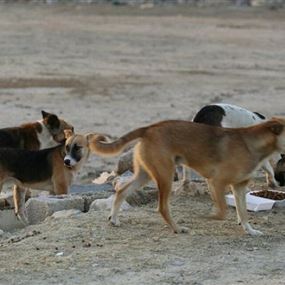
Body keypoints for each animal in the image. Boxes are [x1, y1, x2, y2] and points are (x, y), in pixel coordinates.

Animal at [83, 116, 284, 234]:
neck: (252, 143)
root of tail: (149, 128)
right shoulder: (216, 182)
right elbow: (222, 212)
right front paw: (209, 217)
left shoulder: (239, 186)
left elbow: (242, 212)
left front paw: (249, 230)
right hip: (165, 176)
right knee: (162, 208)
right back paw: (177, 228)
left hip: (145, 175)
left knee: (122, 191)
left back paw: (114, 219)